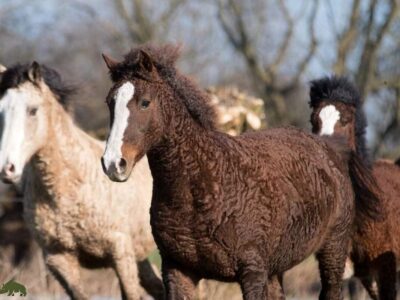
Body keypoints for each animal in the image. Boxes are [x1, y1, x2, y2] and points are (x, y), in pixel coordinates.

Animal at [100, 44, 382, 300]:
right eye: (110, 102)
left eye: (145, 102)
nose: (113, 163)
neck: (203, 182)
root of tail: (330, 148)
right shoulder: (177, 270)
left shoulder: (252, 273)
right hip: (277, 269)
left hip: (333, 250)